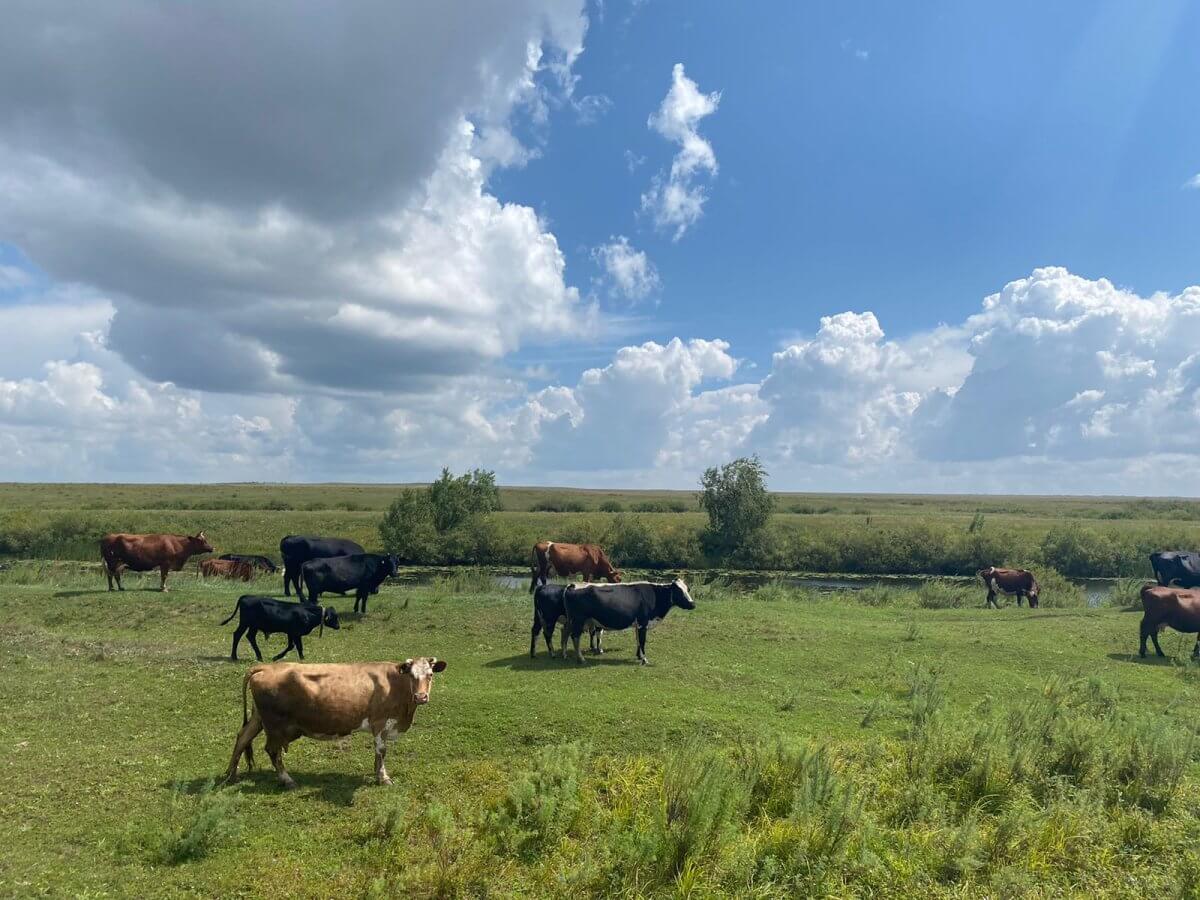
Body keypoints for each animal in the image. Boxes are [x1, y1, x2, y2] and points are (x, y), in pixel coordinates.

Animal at [225, 657, 446, 787]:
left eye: (430, 675)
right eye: (412, 675)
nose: (421, 697)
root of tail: (264, 667)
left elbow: (379, 754)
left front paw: (377, 772)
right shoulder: (380, 722)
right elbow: (381, 751)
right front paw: (383, 778)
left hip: (258, 718)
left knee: (242, 737)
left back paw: (231, 774)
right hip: (275, 726)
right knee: (272, 750)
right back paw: (287, 779)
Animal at [561, 580, 696, 667]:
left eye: (688, 589)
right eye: (679, 591)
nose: (692, 604)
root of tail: (573, 585)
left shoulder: (638, 624)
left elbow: (638, 640)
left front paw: (639, 656)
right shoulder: (643, 623)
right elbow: (642, 641)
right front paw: (644, 660)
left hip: (571, 620)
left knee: (565, 633)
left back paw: (565, 655)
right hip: (578, 619)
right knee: (574, 636)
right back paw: (581, 659)